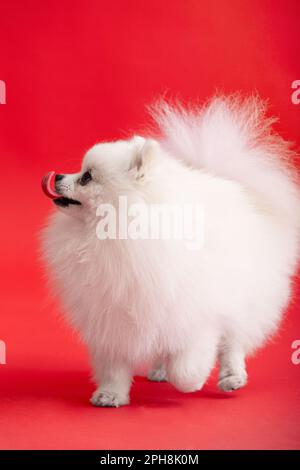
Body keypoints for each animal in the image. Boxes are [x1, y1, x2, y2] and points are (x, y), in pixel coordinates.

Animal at [41, 96, 298, 408]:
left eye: (87, 177)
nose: (58, 175)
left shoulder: (194, 313)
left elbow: (188, 363)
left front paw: (192, 381)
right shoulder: (111, 315)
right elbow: (114, 365)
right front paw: (111, 394)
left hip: (244, 298)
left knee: (233, 342)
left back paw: (231, 377)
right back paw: (160, 370)